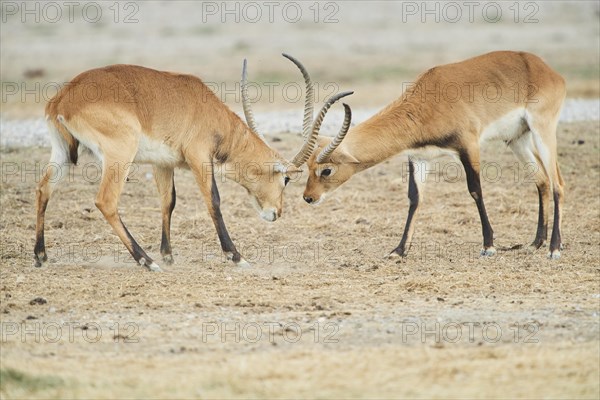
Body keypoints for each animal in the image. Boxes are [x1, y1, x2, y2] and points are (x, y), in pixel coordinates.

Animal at [35, 54, 354, 272]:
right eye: (286, 179)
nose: (276, 213)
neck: (208, 110)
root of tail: (63, 99)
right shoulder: (200, 158)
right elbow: (213, 200)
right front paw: (236, 256)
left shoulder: (162, 164)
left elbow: (169, 201)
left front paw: (168, 255)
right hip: (119, 157)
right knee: (105, 201)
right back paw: (146, 261)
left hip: (61, 154)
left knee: (43, 189)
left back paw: (40, 255)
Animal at [300, 50, 568, 260]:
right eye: (307, 168)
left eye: (326, 170)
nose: (308, 198)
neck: (427, 103)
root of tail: (547, 69)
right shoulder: (419, 158)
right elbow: (414, 198)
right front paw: (398, 250)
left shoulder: (468, 145)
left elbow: (475, 190)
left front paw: (489, 246)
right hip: (517, 140)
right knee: (542, 180)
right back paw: (535, 243)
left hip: (542, 129)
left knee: (557, 183)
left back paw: (554, 249)